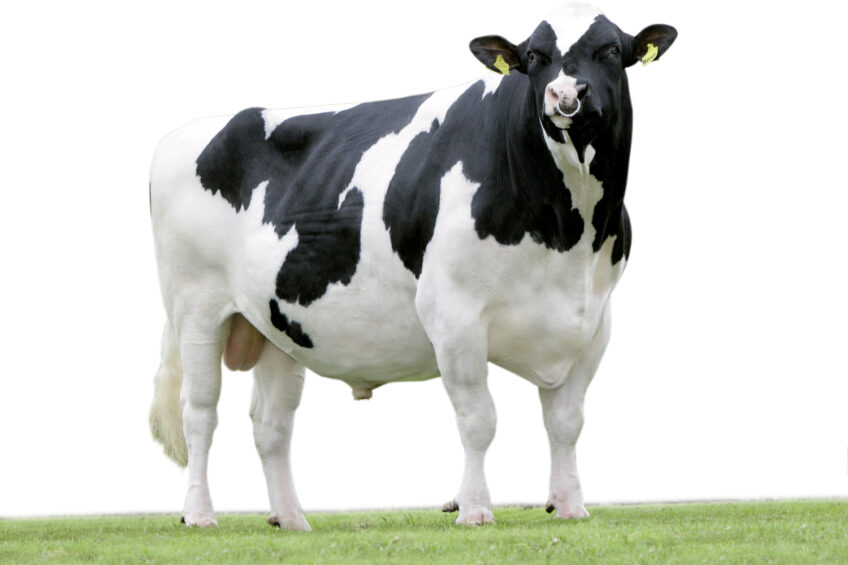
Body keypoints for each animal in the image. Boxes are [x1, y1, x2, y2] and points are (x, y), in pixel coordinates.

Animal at [147, 3, 676, 528]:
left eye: (611, 50)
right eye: (533, 56)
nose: (565, 94)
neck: (567, 235)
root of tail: (183, 134)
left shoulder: (593, 320)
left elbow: (566, 422)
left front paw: (569, 506)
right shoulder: (454, 312)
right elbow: (479, 420)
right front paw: (475, 509)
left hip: (276, 322)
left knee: (271, 424)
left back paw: (292, 520)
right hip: (196, 306)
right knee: (199, 412)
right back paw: (199, 514)